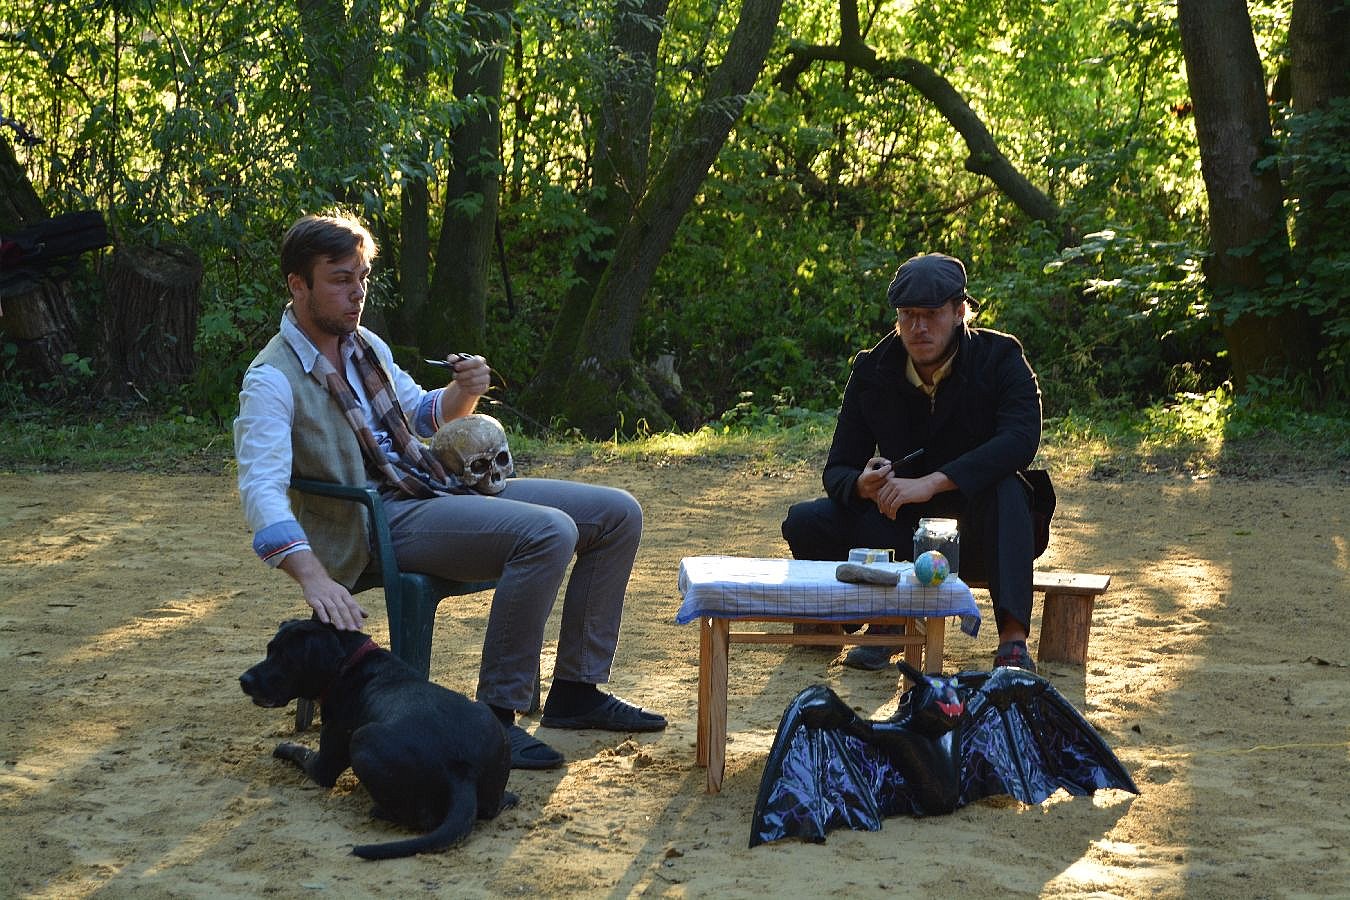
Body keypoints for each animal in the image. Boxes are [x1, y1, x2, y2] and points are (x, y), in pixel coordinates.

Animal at [239, 619, 515, 859]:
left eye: (286, 658)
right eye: (269, 650)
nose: (244, 680)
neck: (348, 664)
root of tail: (462, 770)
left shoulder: (322, 766)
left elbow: (300, 751)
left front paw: (283, 746)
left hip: (362, 739)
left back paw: (377, 810)